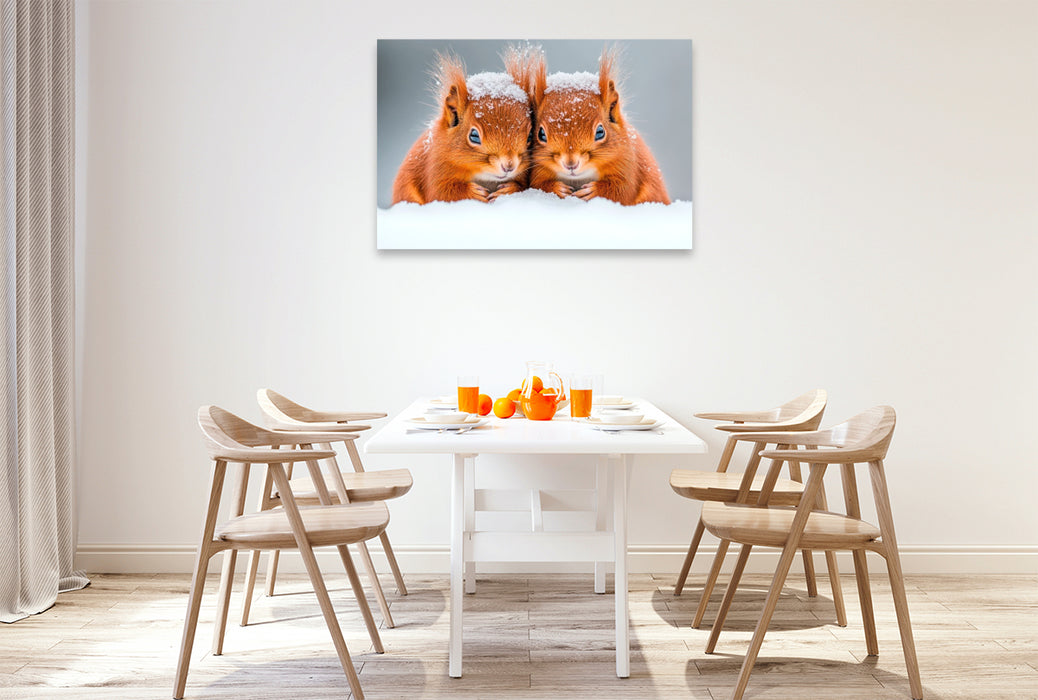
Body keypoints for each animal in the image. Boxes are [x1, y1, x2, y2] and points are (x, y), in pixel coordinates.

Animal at [391, 50, 535, 205]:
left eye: (530, 136)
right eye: (474, 136)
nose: (509, 165)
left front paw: (508, 190)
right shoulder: (435, 168)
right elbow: (440, 192)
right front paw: (473, 193)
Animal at [528, 50, 670, 206]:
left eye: (600, 132)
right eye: (541, 134)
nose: (571, 164)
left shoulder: (628, 164)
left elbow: (623, 190)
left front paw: (594, 191)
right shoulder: (537, 170)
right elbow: (538, 185)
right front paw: (558, 188)